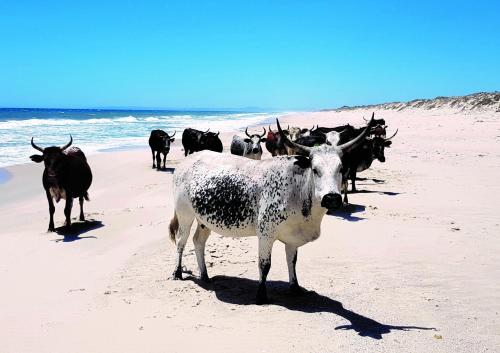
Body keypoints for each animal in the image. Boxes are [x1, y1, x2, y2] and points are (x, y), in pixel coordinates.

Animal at [170, 117, 374, 302]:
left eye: (340, 168)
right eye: (315, 169)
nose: (332, 198)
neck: (299, 192)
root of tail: (187, 161)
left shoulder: (292, 239)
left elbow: (292, 261)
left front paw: (295, 287)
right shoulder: (266, 234)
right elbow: (265, 265)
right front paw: (261, 295)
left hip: (204, 220)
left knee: (198, 241)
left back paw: (204, 275)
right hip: (185, 214)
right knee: (181, 241)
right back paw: (177, 272)